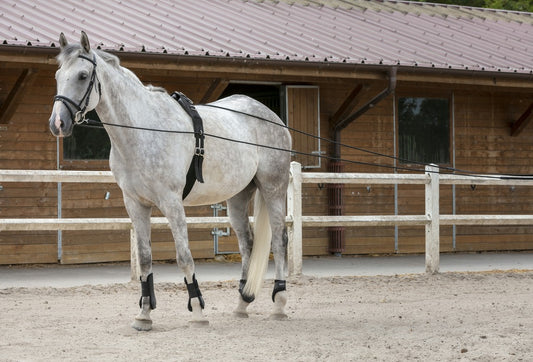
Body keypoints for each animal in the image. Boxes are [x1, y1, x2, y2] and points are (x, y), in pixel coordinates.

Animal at [48, 31, 290, 330]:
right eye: (58, 74)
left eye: (82, 75)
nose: (58, 124)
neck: (144, 130)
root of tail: (271, 116)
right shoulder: (136, 204)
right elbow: (145, 259)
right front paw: (144, 315)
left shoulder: (172, 203)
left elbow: (184, 257)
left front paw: (197, 311)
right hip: (238, 197)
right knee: (248, 245)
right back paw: (242, 304)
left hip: (273, 188)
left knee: (280, 239)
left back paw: (279, 305)